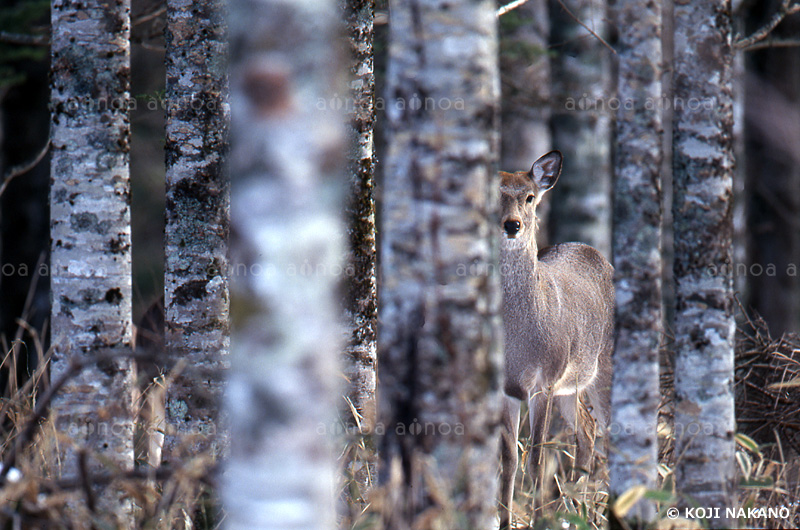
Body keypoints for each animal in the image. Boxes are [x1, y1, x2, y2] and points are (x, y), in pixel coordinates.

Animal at [496, 151, 616, 524]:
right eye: (496, 193)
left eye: (530, 196)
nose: (512, 225)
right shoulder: (504, 388)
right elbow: (509, 460)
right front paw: (505, 521)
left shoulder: (544, 381)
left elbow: (536, 460)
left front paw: (538, 518)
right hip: (572, 384)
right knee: (587, 430)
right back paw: (579, 506)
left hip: (603, 368)